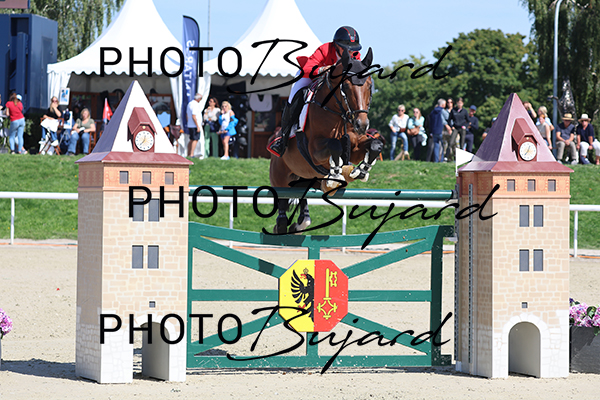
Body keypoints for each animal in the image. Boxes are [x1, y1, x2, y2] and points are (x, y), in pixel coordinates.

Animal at [269, 48, 383, 234]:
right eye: (346, 86)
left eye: (369, 85)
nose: (362, 125)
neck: (338, 112)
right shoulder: (314, 151)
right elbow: (334, 145)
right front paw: (335, 174)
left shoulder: (355, 147)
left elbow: (375, 145)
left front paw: (361, 171)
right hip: (281, 178)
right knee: (283, 207)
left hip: (304, 178)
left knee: (302, 202)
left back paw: (300, 223)